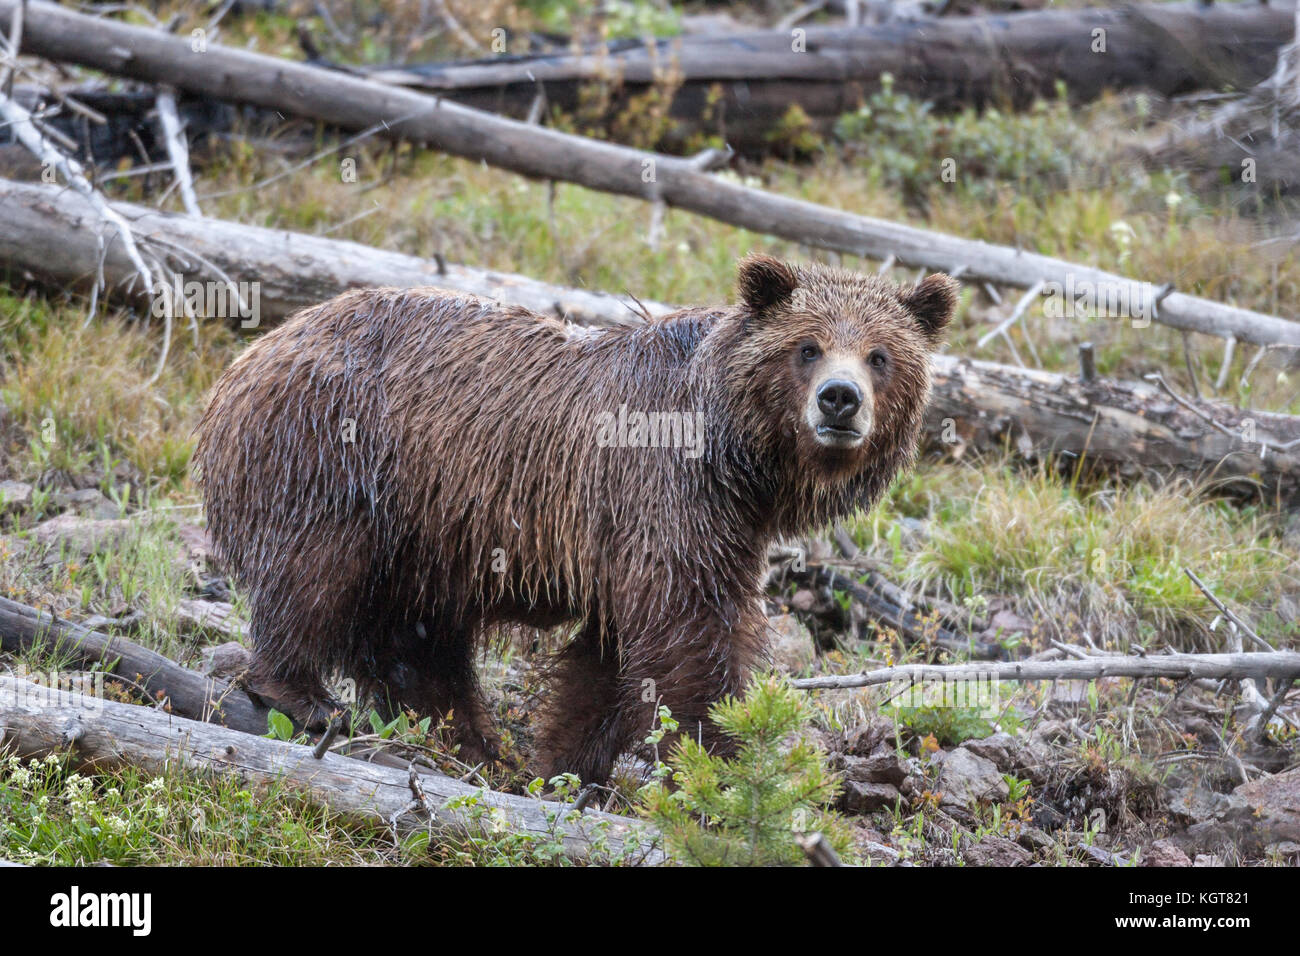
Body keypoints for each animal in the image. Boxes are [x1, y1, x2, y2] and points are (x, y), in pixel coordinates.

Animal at [193, 254, 957, 784]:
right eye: (807, 346)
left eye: (880, 355)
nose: (839, 399)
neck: (735, 456)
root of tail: (248, 357)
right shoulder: (665, 493)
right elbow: (689, 631)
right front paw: (720, 753)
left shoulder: (704, 526)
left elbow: (610, 658)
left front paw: (564, 762)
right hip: (339, 456)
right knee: (316, 570)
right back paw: (304, 695)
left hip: (431, 529)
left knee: (415, 633)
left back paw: (468, 738)